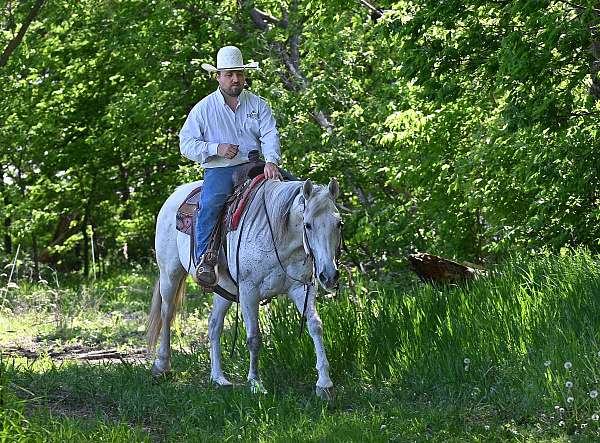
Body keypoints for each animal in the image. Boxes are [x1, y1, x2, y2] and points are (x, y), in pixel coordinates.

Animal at [146, 177, 342, 398]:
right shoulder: (249, 291)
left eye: (339, 223)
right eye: (307, 225)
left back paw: (218, 378)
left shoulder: (301, 288)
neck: (278, 236)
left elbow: (315, 326)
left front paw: (324, 383)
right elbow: (254, 337)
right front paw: (255, 383)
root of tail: (176, 193)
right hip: (170, 273)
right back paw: (162, 366)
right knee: (167, 314)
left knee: (214, 324)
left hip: (223, 289)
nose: (329, 275)